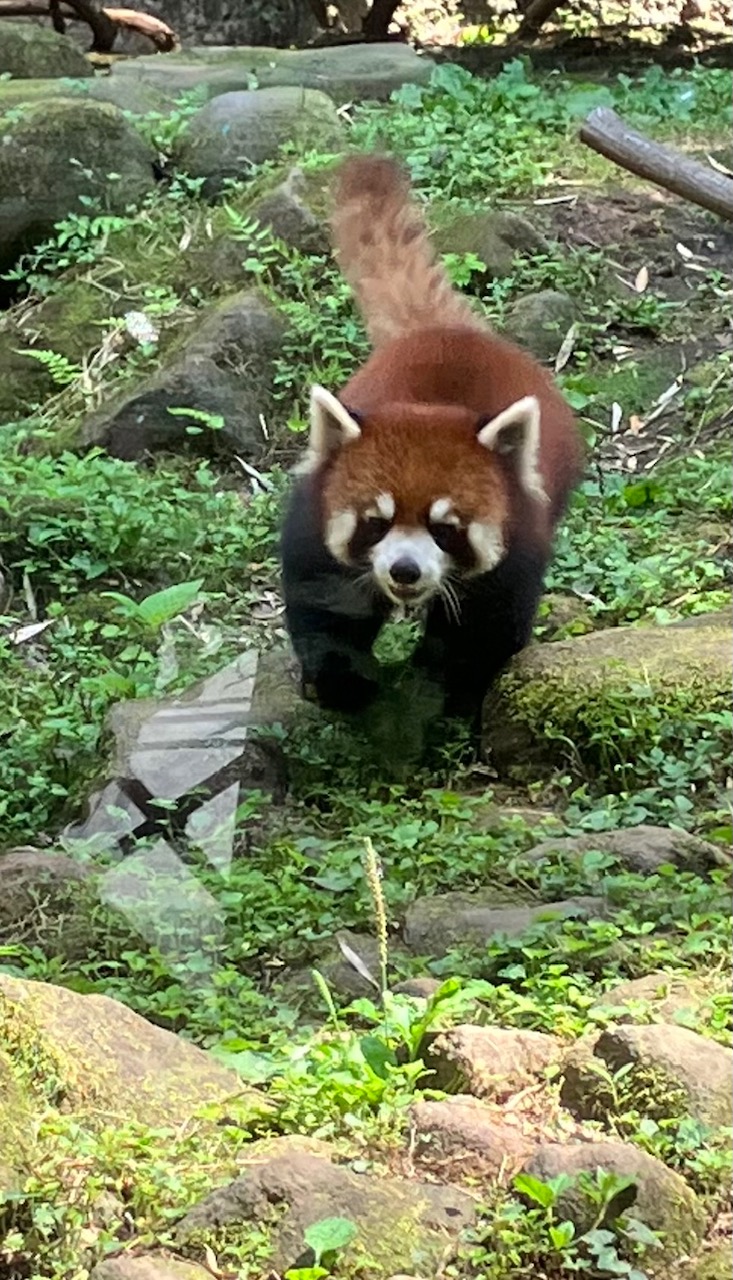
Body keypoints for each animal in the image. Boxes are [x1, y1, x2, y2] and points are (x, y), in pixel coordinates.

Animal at [280, 154, 583, 727]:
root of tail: (448, 331)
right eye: (375, 523)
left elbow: (481, 633)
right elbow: (326, 607)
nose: (405, 569)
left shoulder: (518, 544)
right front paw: (339, 682)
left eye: (447, 529)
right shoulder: (315, 523)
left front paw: (449, 694)